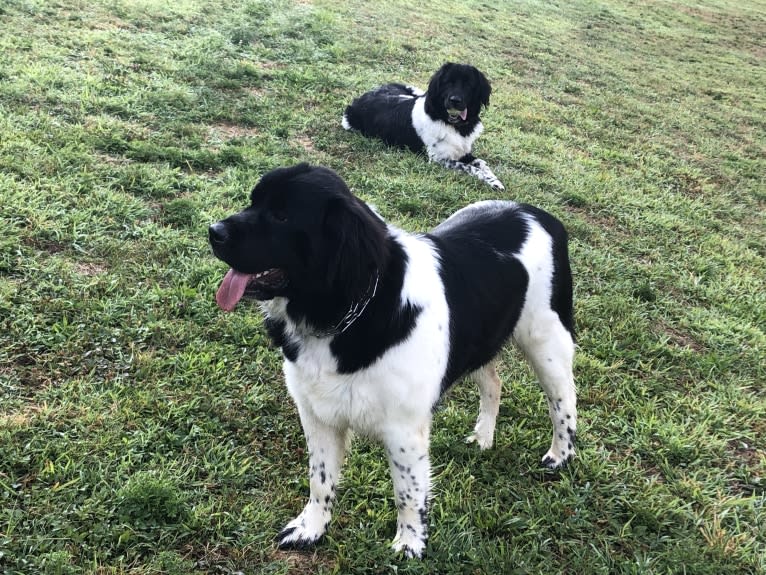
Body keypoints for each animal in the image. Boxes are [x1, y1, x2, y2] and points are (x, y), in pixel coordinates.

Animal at [210, 162, 576, 560]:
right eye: (253, 200)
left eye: (281, 215)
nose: (213, 231)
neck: (347, 311)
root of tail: (542, 215)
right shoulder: (318, 415)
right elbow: (320, 479)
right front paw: (311, 529)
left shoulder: (404, 429)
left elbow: (408, 492)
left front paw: (410, 543)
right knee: (494, 382)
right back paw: (483, 437)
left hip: (546, 341)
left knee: (564, 401)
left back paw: (560, 456)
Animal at [344, 63, 508, 190]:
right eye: (447, 82)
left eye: (468, 85)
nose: (455, 100)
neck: (452, 124)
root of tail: (362, 97)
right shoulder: (438, 159)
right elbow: (470, 167)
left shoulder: (464, 152)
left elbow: (482, 164)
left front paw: (495, 181)